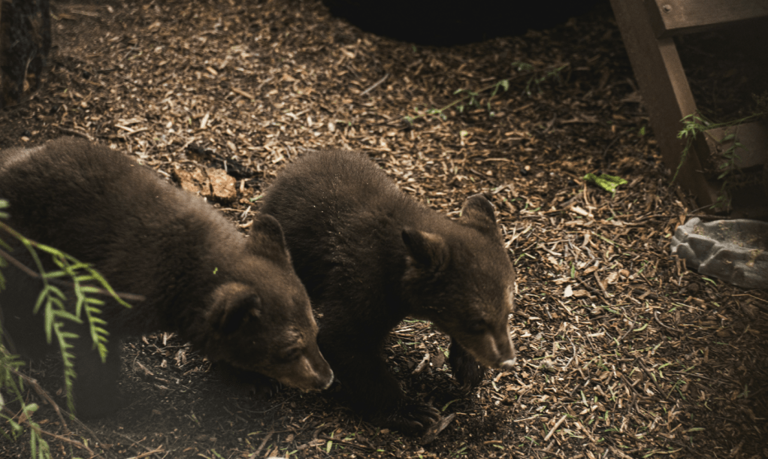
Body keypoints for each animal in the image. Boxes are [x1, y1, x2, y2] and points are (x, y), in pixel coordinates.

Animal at [0, 137, 333, 418]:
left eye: (315, 332)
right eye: (289, 350)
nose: (326, 378)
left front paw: (251, 379)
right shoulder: (120, 285)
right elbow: (89, 336)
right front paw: (99, 403)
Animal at [260, 149, 517, 435]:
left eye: (508, 313)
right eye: (476, 322)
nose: (506, 361)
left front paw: (469, 367)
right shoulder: (364, 283)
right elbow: (346, 343)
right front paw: (411, 411)